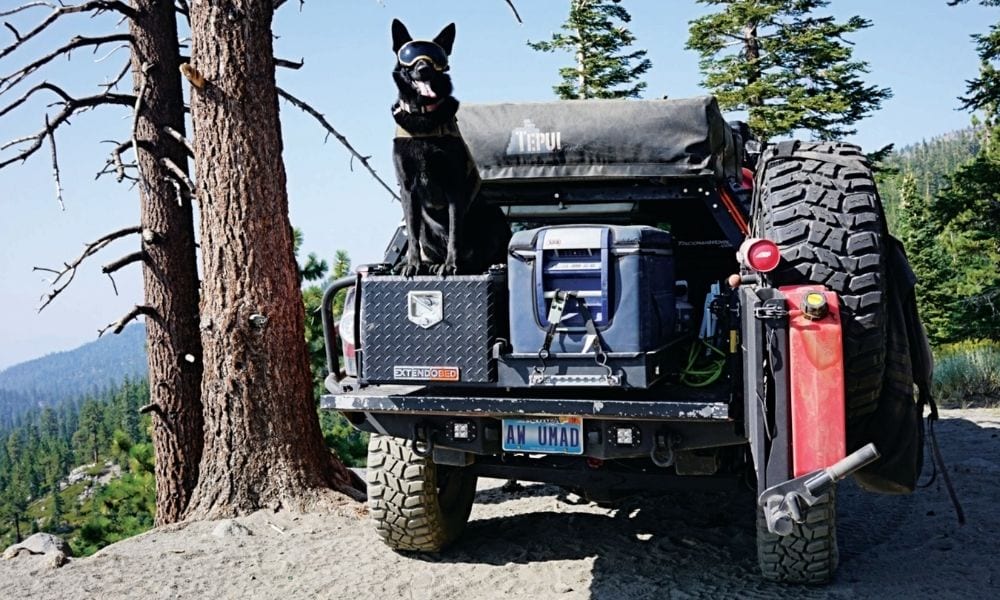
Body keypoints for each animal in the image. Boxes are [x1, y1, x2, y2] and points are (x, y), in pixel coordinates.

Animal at [388, 18, 508, 276]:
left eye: (436, 57)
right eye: (410, 56)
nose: (423, 69)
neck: (424, 118)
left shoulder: (454, 187)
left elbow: (454, 232)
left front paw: (452, 264)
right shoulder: (407, 189)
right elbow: (411, 234)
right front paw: (413, 264)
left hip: (492, 214)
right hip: (426, 222)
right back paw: (429, 264)